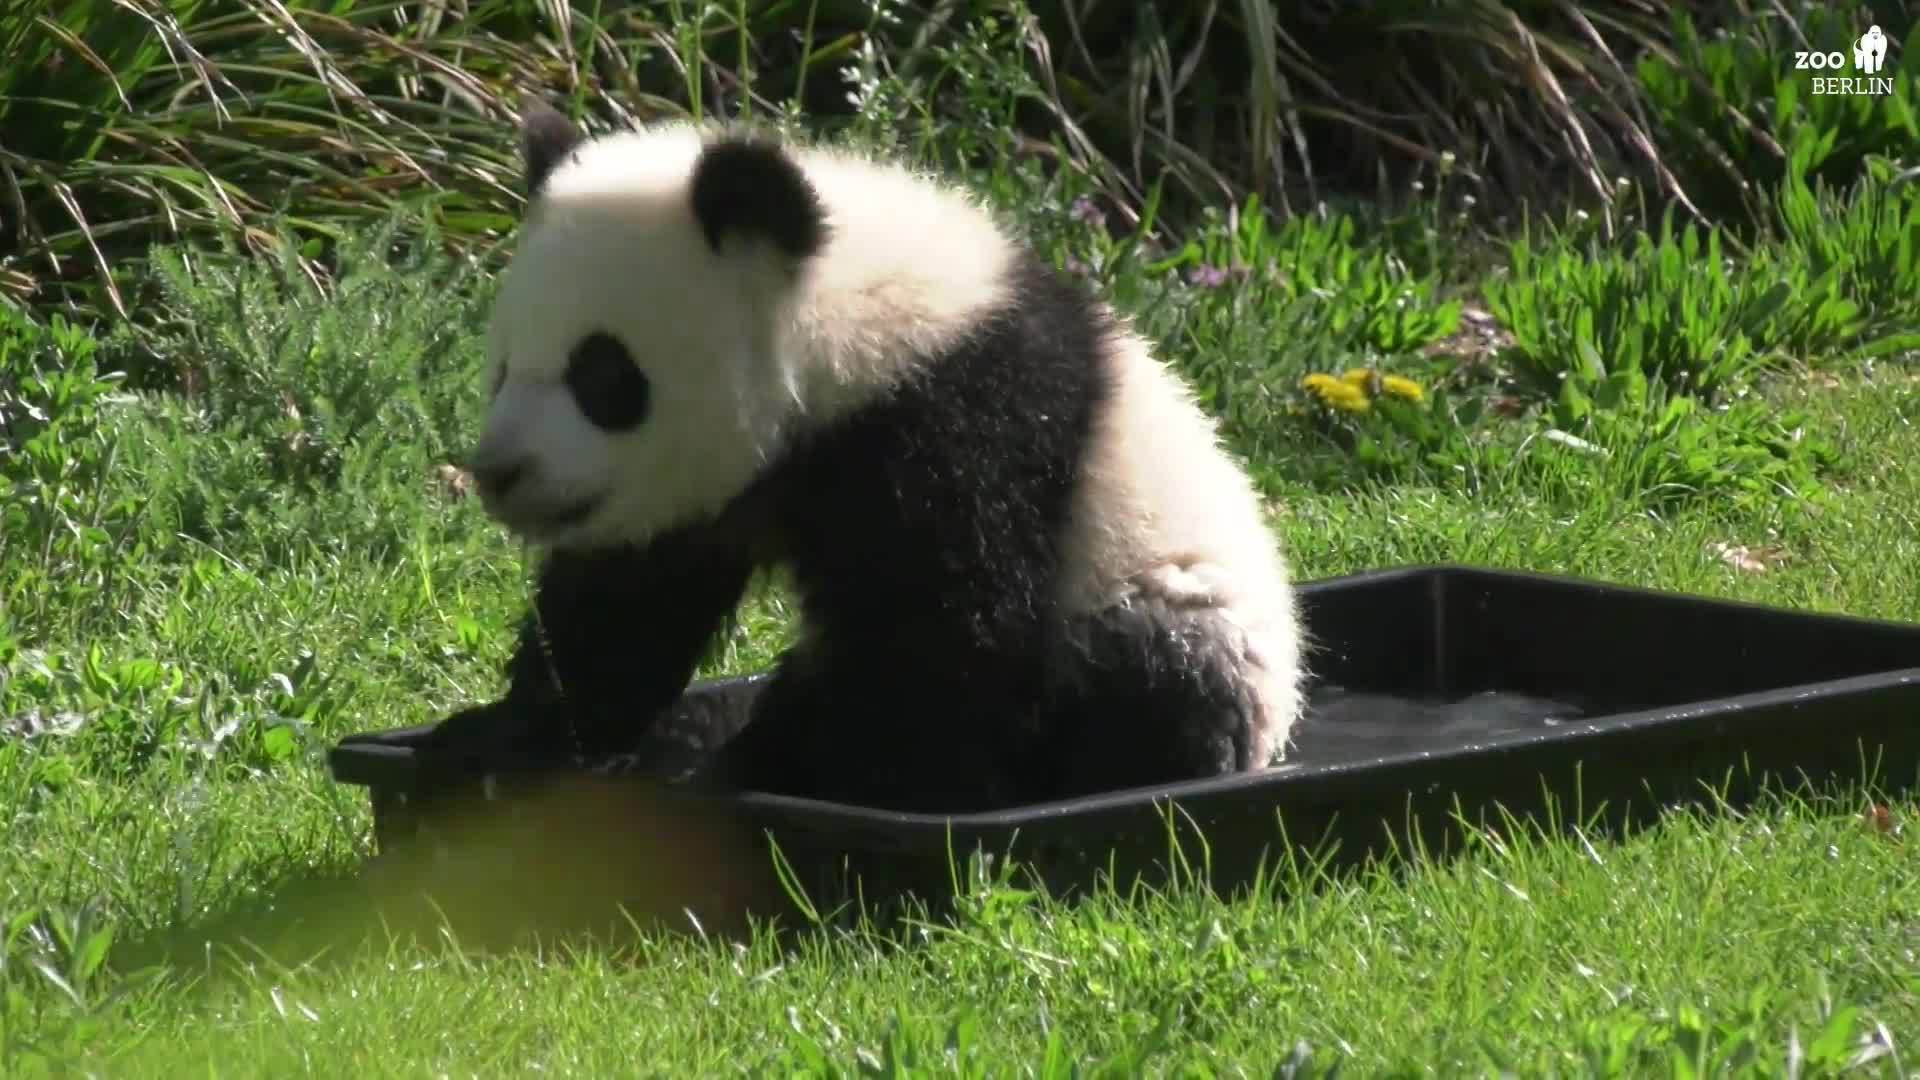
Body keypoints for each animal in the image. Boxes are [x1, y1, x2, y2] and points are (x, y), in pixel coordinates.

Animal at [425, 101, 1307, 813]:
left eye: (604, 377)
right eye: (502, 367)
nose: (501, 473)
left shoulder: (953, 424)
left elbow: (944, 630)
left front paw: (822, 773)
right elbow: (630, 599)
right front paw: (510, 733)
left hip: (1163, 601)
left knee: (1155, 686)